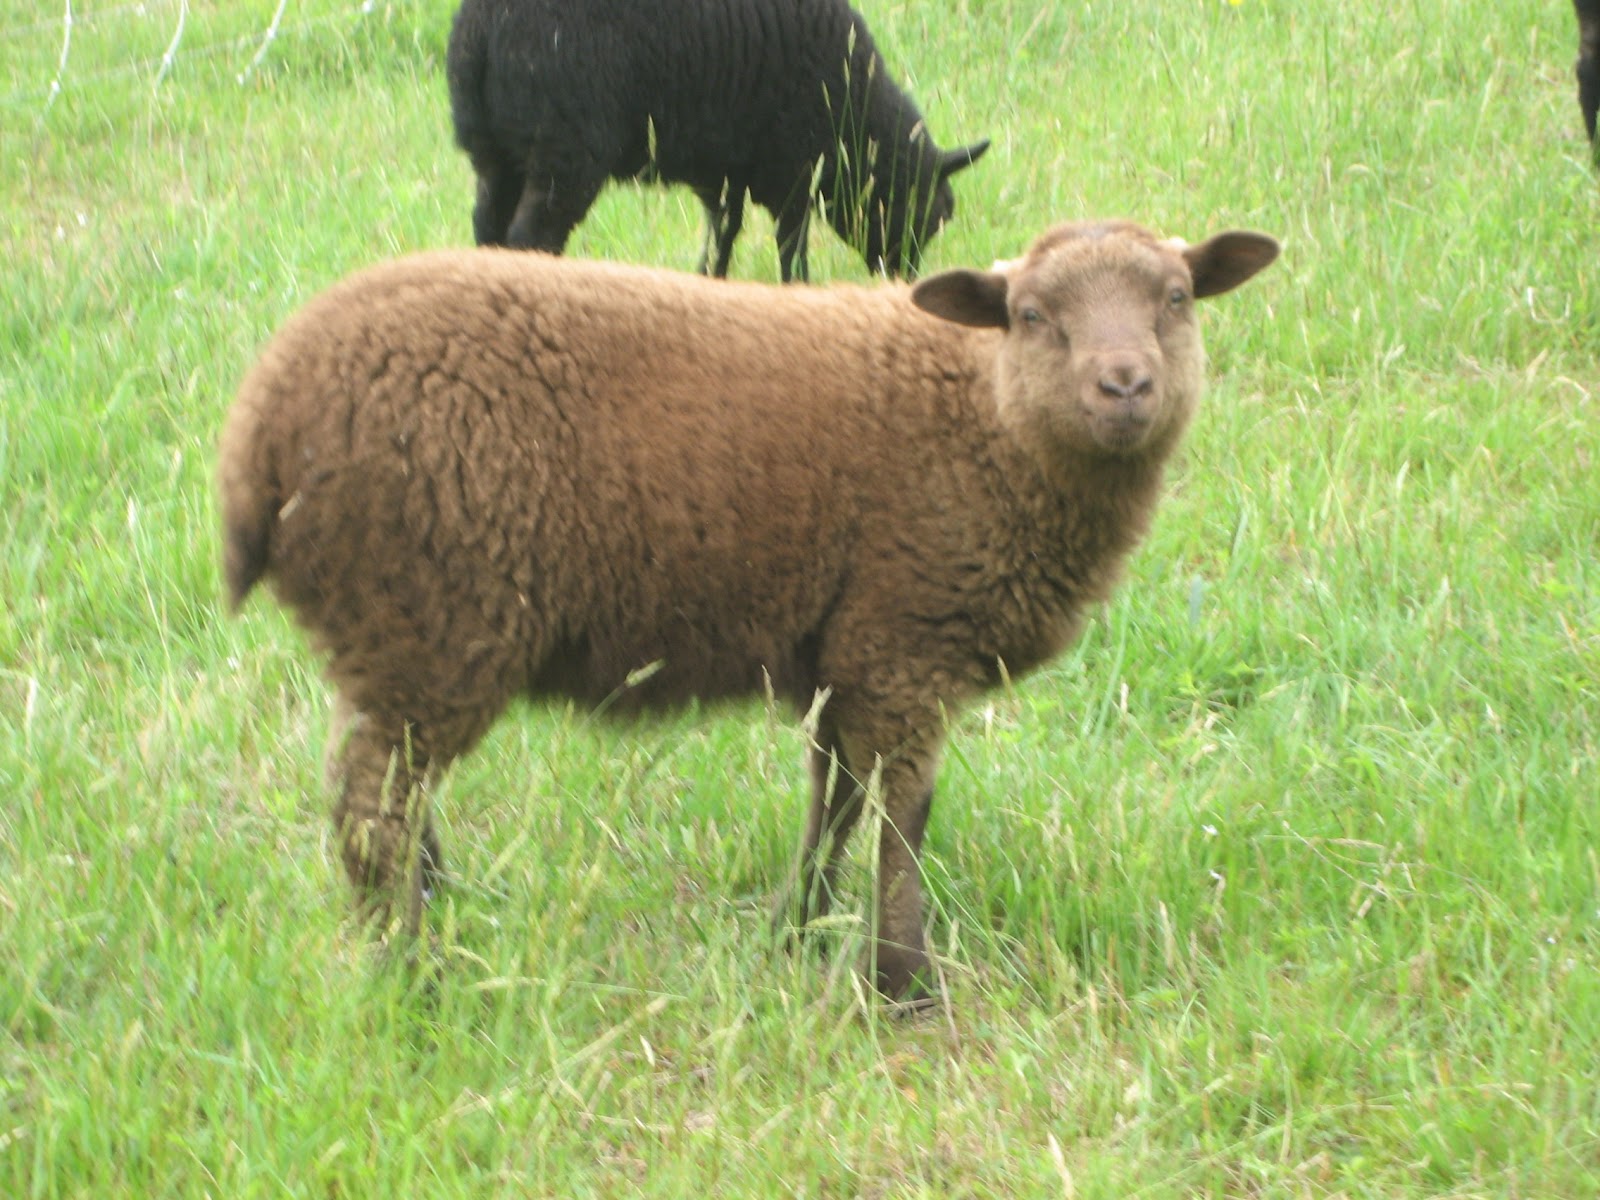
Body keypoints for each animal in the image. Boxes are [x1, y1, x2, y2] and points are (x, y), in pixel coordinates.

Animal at [218, 219, 1279, 1004]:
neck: (985, 424)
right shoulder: (906, 638)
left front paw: (798, 926)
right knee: (370, 805)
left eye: (1176, 299)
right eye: (1028, 314)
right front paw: (903, 979)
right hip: (439, 610)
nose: (1126, 386)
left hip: (393, 629)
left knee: (391, 788)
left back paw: (438, 912)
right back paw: (413, 970)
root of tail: (258, 427)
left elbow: (836, 799)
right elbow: (904, 815)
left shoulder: (849, 654)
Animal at [445, 0, 990, 282]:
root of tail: (485, 28)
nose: (903, 280)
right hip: (564, 152)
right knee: (530, 237)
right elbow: (791, 244)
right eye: (928, 213)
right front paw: (798, 290)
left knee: (487, 226)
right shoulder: (793, 170)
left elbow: (722, 232)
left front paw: (709, 282)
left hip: (495, 153)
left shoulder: (722, 169)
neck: (856, 123)